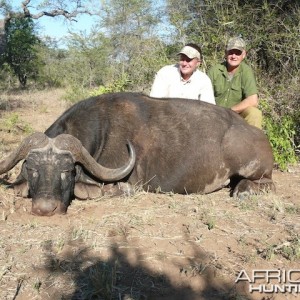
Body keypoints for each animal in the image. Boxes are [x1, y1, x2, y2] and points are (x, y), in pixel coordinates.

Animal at [0, 92, 274, 216]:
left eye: (67, 171)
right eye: (32, 170)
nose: (45, 208)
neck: (102, 129)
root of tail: (258, 134)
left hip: (255, 169)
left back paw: (243, 190)